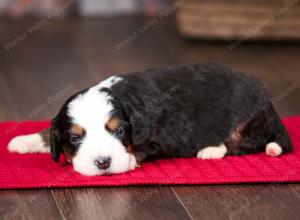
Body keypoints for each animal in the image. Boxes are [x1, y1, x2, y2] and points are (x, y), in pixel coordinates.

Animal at [7, 63, 292, 175]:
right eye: (75, 137)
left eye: (119, 131)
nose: (103, 163)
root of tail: (271, 107)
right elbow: (48, 132)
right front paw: (24, 140)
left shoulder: (167, 135)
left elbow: (144, 149)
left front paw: (130, 159)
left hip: (247, 114)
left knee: (246, 143)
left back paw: (211, 149)